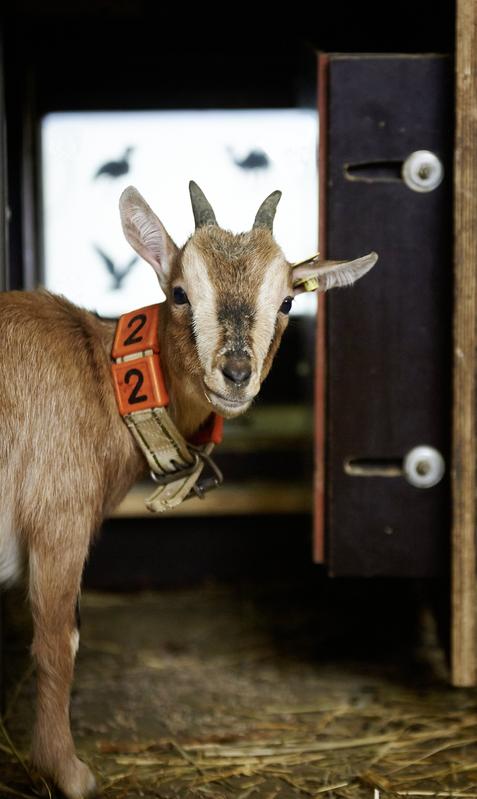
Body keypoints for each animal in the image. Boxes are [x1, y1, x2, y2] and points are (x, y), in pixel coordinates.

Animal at [0, 183, 378, 799]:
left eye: (287, 302)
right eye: (179, 292)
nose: (236, 373)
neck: (102, 379)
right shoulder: (58, 520)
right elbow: (61, 642)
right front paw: (69, 773)